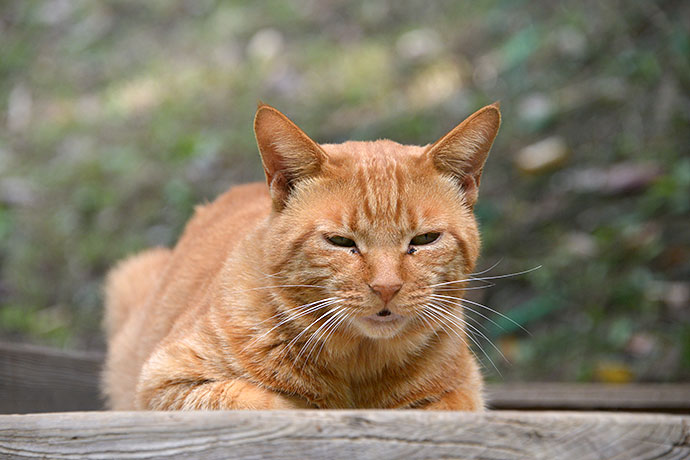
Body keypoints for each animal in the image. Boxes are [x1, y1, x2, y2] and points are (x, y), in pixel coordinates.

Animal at [102, 103, 498, 410]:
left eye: (425, 239)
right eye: (340, 241)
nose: (387, 287)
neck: (358, 366)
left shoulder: (465, 393)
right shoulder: (165, 384)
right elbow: (265, 402)